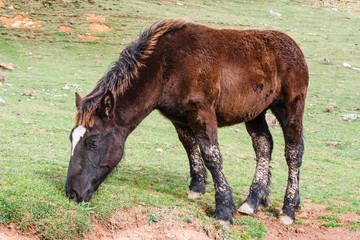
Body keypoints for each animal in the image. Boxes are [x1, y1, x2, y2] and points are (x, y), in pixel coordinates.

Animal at [64, 18, 306, 225]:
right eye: (71, 139)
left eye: (93, 143)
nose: (72, 193)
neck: (166, 66)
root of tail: (294, 47)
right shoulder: (179, 119)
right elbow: (190, 148)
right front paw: (197, 188)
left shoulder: (203, 114)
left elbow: (212, 156)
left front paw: (223, 208)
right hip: (256, 112)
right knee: (264, 145)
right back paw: (253, 199)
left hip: (291, 108)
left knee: (293, 152)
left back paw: (288, 209)